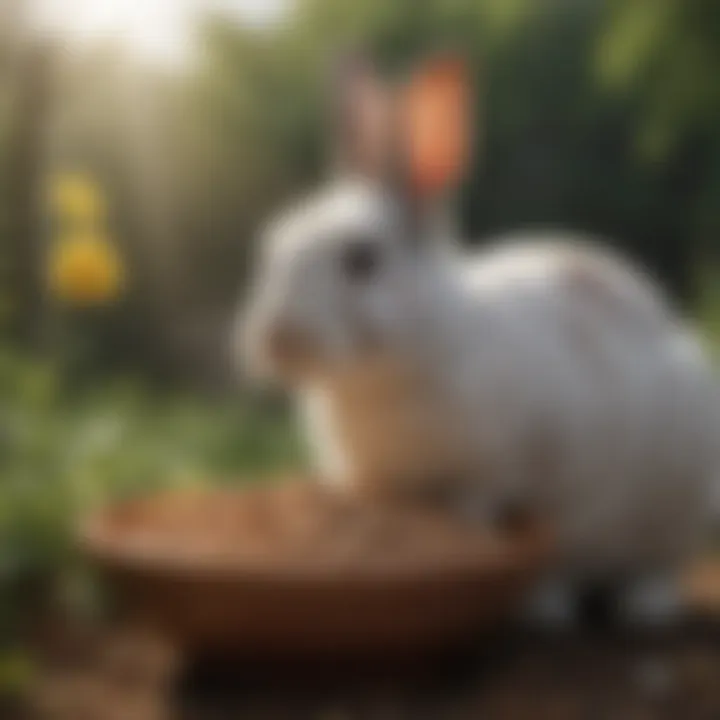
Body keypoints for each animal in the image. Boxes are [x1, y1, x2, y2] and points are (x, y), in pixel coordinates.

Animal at [233, 54, 716, 624]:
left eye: (362, 259)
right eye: (273, 244)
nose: (276, 338)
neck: (387, 374)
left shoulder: (499, 470)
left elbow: (481, 514)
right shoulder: (375, 487)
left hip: (672, 512)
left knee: (648, 568)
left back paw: (617, 606)